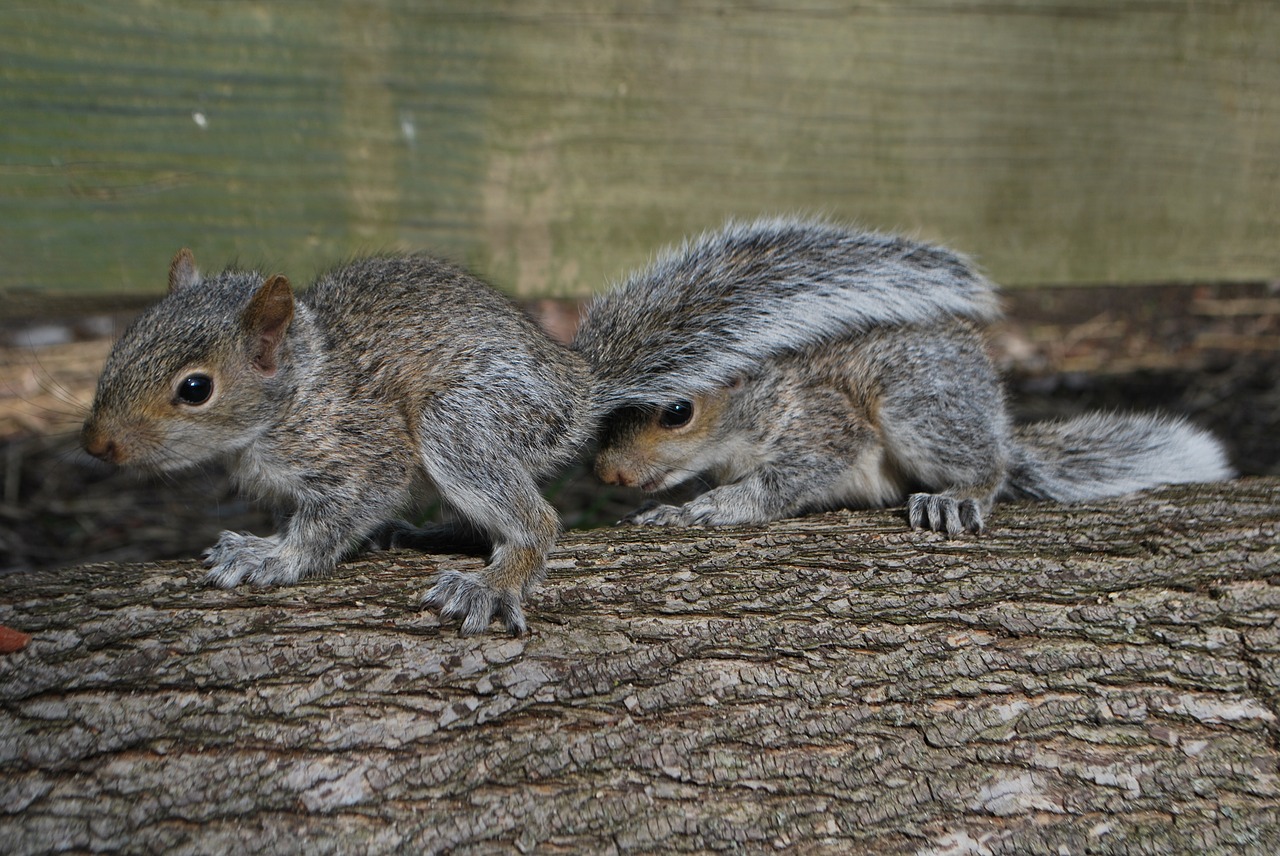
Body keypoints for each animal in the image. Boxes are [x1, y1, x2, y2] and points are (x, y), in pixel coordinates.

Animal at [87, 218, 998, 634]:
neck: (302, 385)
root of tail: (575, 389)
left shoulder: (363, 443)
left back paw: (496, 576)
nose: (97, 446)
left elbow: (339, 512)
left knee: (538, 519)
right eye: (121, 343)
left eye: (195, 389)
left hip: (462, 422)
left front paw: (271, 557)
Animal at [586, 217, 1228, 529]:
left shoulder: (826, 428)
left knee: (988, 470)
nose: (607, 474)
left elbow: (788, 479)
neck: (768, 400)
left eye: (677, 412)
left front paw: (710, 508)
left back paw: (958, 496)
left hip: (919, 408)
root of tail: (995, 423)